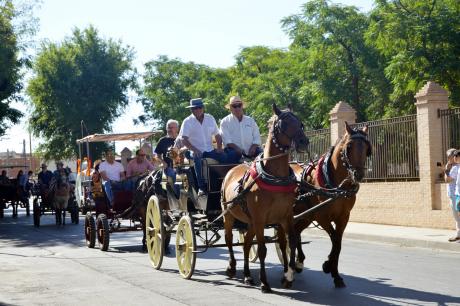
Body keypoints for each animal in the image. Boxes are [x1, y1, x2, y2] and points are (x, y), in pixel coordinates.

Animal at [220, 104, 308, 292]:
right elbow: (261, 250)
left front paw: (288, 276)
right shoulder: (260, 219)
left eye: (299, 122)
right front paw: (265, 282)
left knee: (246, 244)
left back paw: (247, 275)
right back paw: (231, 267)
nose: (304, 141)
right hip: (229, 215)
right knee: (229, 239)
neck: (275, 176)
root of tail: (231, 170)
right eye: (284, 123)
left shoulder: (285, 216)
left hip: (250, 221)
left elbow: (291, 242)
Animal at [292, 121, 372, 286]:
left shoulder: (344, 217)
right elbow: (335, 239)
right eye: (349, 146)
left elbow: (338, 243)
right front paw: (328, 265)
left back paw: (298, 262)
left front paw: (336, 274)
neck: (337, 188)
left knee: (295, 233)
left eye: (367, 147)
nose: (358, 174)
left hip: (305, 216)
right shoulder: (322, 217)